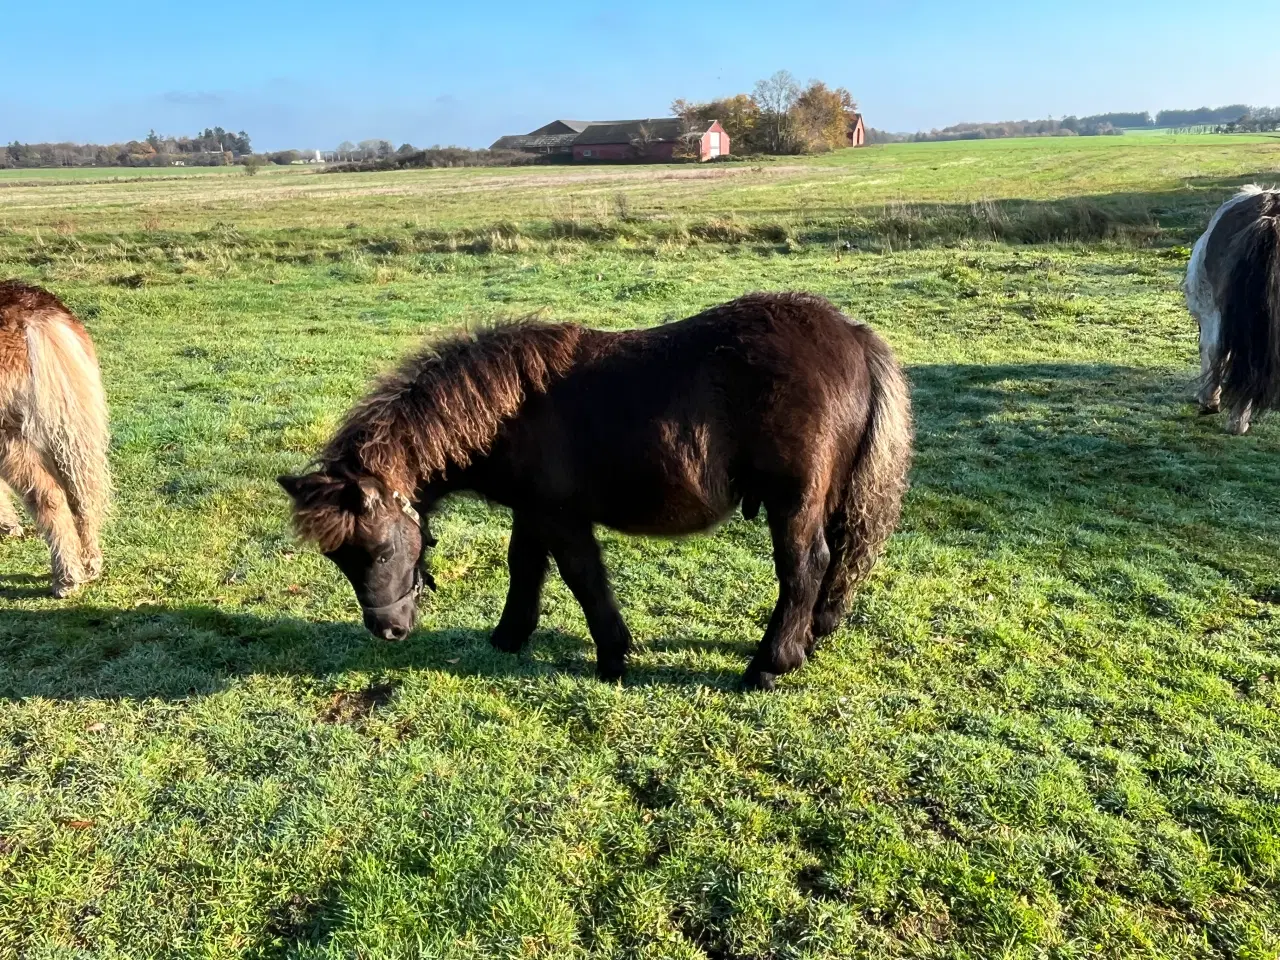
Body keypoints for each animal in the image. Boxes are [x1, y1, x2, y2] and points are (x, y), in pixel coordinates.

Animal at [0, 280, 111, 593]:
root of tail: (36, 319)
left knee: (50, 497)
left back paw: (66, 578)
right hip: (73, 430)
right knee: (81, 495)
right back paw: (90, 564)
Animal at [284, 293, 916, 691]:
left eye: (380, 552)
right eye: (340, 559)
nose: (387, 630)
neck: (506, 410)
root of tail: (853, 337)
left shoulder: (562, 517)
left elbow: (582, 578)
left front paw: (613, 656)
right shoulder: (533, 511)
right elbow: (524, 567)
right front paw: (509, 637)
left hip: (794, 502)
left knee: (804, 568)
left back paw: (768, 666)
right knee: (834, 567)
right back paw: (808, 642)